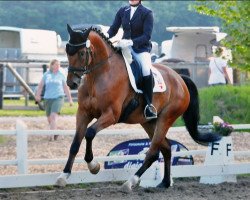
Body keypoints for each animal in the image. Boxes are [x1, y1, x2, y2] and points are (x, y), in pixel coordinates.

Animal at [55, 24, 220, 191]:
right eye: (67, 52)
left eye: (82, 53)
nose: (72, 83)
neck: (99, 76)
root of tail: (180, 78)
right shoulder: (83, 113)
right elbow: (75, 144)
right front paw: (63, 176)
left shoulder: (111, 115)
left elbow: (89, 133)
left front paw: (93, 166)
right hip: (148, 122)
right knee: (166, 148)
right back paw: (164, 183)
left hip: (166, 118)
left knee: (153, 152)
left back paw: (130, 182)